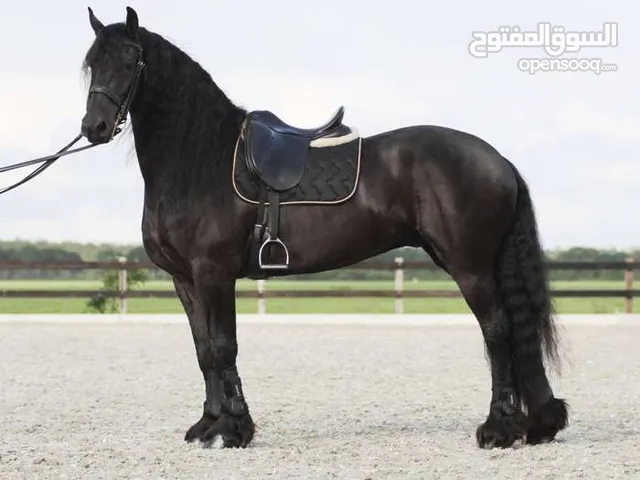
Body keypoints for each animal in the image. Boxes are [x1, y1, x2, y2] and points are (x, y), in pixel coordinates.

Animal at [79, 6, 568, 449]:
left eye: (131, 58)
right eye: (91, 62)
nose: (93, 127)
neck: (201, 160)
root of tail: (498, 160)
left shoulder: (214, 273)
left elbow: (224, 347)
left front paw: (233, 430)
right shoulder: (185, 279)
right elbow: (204, 352)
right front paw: (208, 425)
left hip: (470, 267)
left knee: (497, 329)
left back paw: (498, 429)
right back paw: (537, 423)